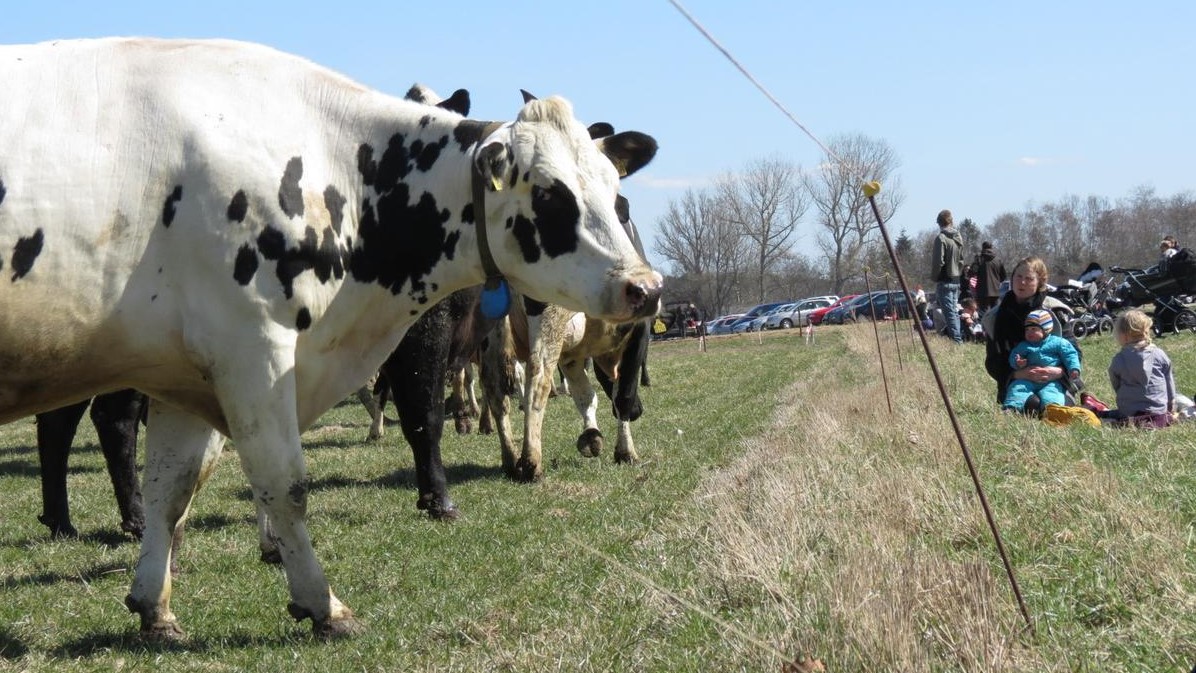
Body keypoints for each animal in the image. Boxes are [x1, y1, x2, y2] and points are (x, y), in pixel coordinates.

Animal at [0, 38, 655, 640]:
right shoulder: (253, 350)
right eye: (550, 192)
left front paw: (154, 607)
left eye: (613, 188)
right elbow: (285, 484)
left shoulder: (182, 372)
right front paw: (323, 605)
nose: (644, 287)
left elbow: (174, 486)